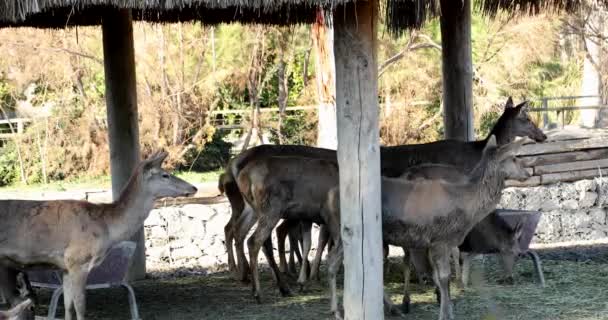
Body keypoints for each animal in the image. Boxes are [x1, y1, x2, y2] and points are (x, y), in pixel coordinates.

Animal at [0, 151, 196, 320]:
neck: (108, 227)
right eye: (165, 175)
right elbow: (80, 307)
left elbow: (68, 307)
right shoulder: (77, 260)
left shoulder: (65, 267)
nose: (194, 187)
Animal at [326, 136, 528, 320]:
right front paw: (445, 314)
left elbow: (437, 276)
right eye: (514, 157)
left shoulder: (434, 243)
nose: (526, 173)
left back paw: (391, 308)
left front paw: (448, 309)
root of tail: (330, 196)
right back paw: (337, 311)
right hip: (345, 230)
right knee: (334, 263)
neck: (467, 209)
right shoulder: (441, 239)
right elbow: (444, 277)